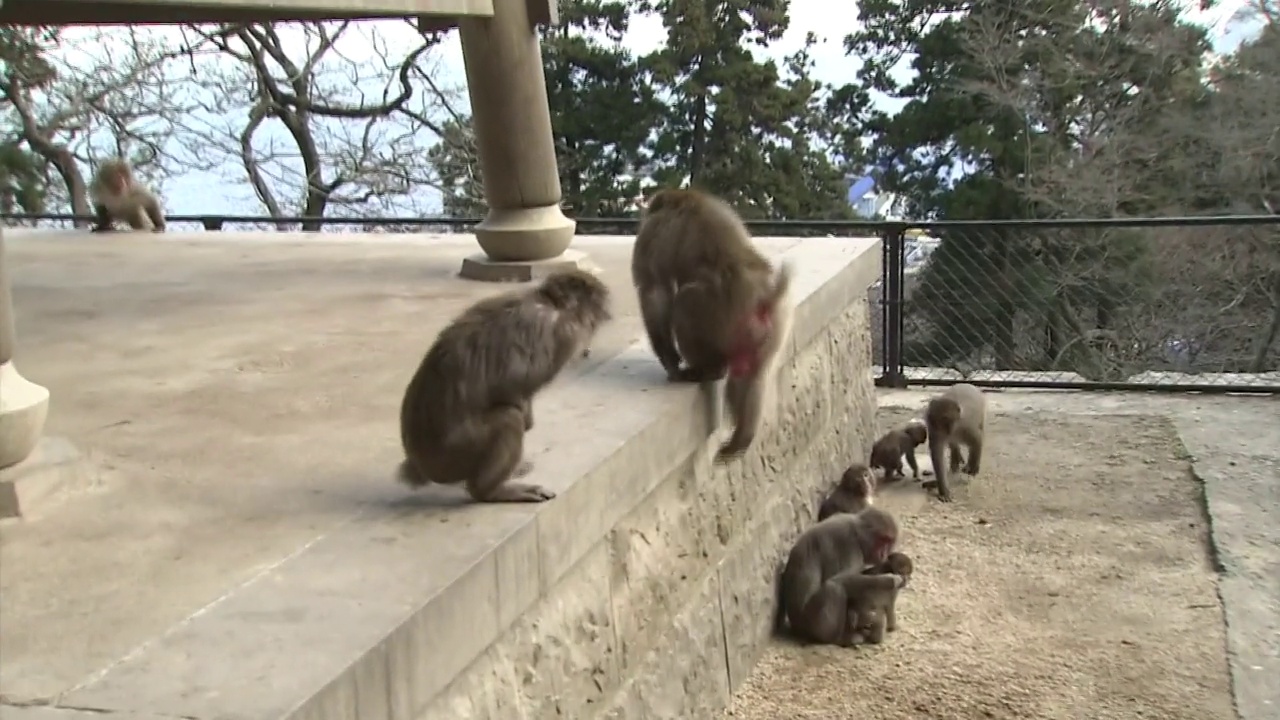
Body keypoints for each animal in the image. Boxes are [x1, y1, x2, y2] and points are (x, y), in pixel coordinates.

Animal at [396, 266, 611, 502]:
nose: (600, 320)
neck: (547, 302)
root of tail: (420, 465)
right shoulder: (562, 331)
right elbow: (514, 381)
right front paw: (527, 418)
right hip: (455, 452)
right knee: (508, 418)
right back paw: (488, 490)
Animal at [627, 188, 793, 458]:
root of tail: (765, 297)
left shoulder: (654, 230)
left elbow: (653, 290)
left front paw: (671, 363)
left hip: (720, 315)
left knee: (685, 302)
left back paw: (706, 370)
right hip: (774, 325)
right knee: (754, 376)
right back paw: (742, 438)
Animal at [773, 504, 906, 645]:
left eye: (889, 542)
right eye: (882, 540)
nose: (883, 553)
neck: (858, 534)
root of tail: (795, 627)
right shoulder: (848, 543)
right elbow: (842, 579)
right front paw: (889, 580)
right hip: (809, 623)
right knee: (833, 587)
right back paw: (838, 638)